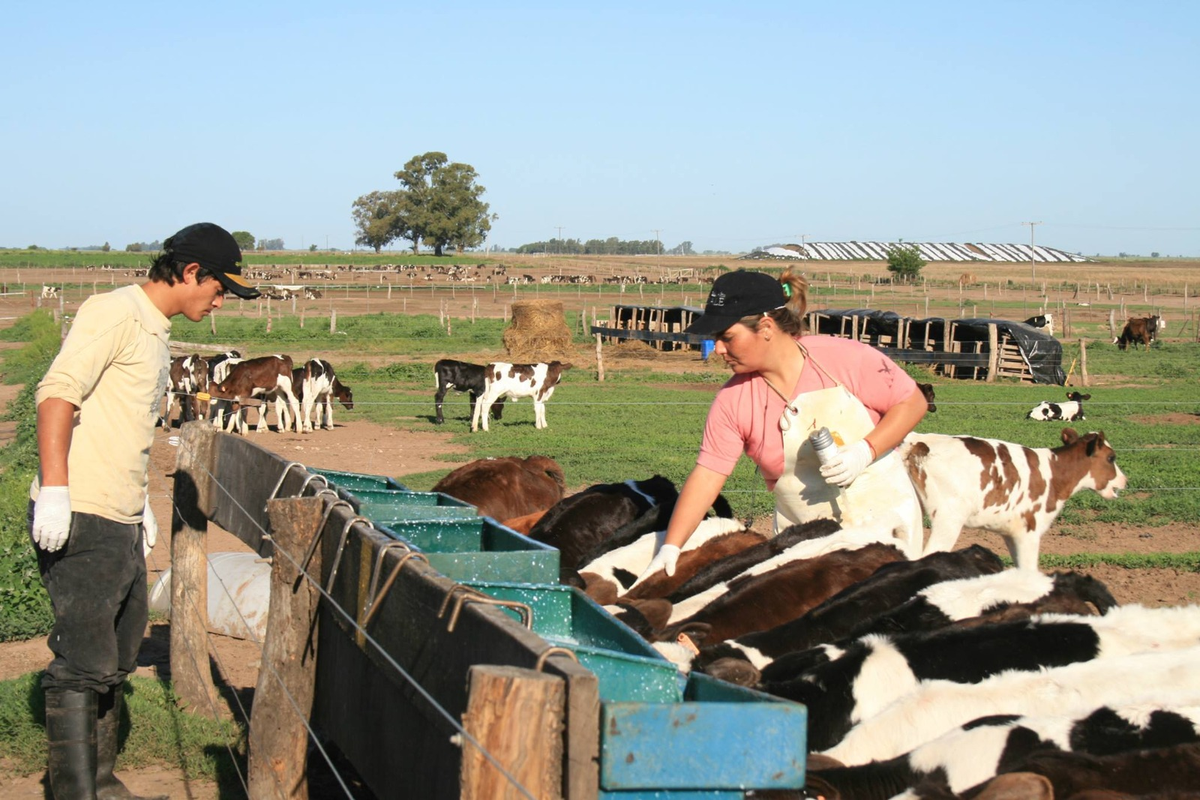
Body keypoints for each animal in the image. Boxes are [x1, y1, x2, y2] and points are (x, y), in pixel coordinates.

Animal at [902, 431, 1128, 568]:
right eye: (1111, 458)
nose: (1125, 480)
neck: (1054, 474)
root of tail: (921, 441)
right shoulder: (1030, 531)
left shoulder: (1010, 533)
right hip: (949, 519)